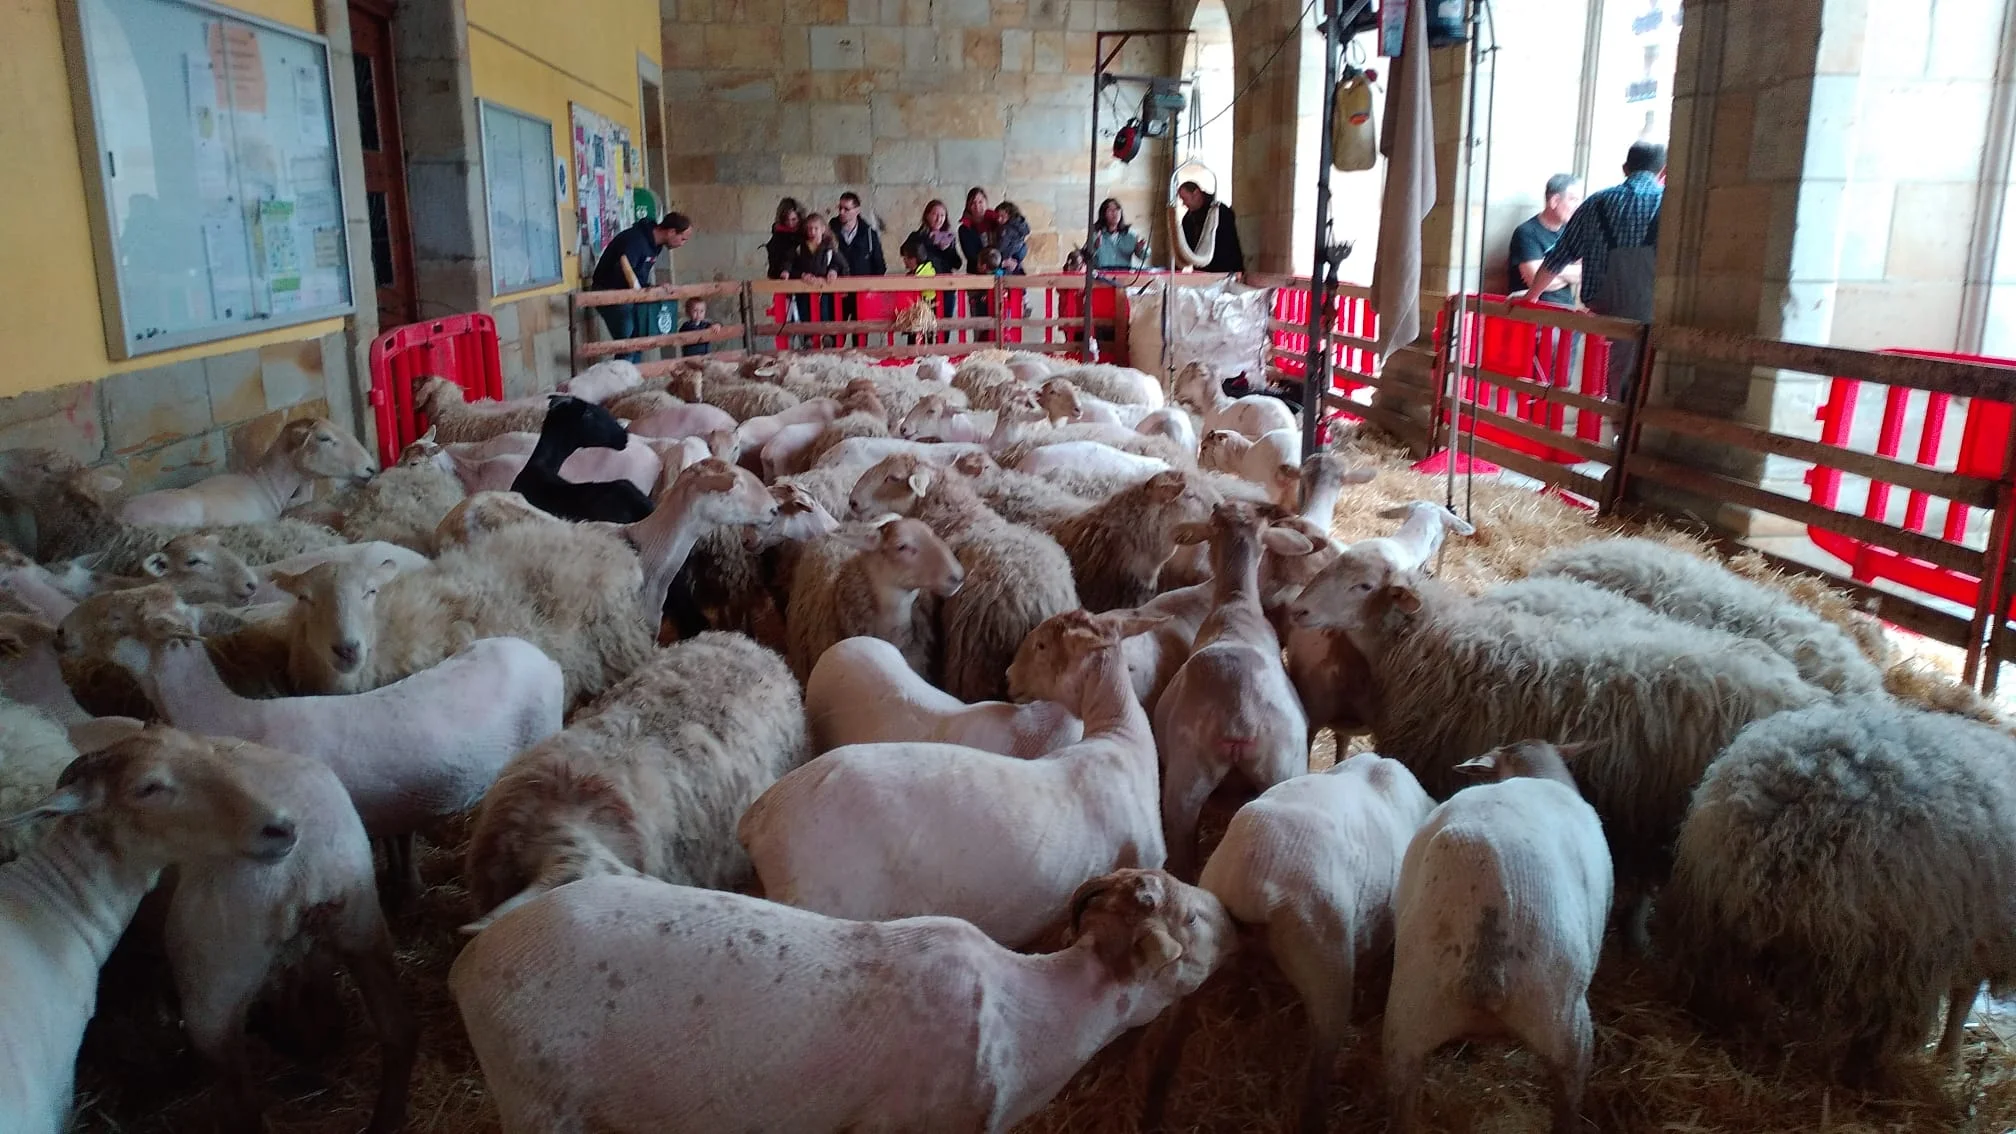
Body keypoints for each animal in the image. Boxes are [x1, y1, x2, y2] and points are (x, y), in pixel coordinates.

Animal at [0, 726, 412, 1134]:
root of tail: (305, 865)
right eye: (147, 788)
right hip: (362, 929)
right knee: (396, 1032)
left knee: (244, 1106)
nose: (280, 828)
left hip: (213, 988)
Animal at [1154, 754, 1436, 1134]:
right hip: (1326, 961)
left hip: (1201, 945)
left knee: (1170, 1042)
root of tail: (1258, 884)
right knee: (1317, 1074)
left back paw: (1151, 1111)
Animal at [1658, 699, 2016, 1080]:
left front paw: (1949, 1058)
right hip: (1884, 953)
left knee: (1712, 981)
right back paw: (1863, 1075)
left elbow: (1965, 992)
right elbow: (1964, 996)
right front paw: (1951, 1059)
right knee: (1871, 1030)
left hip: (1713, 914)